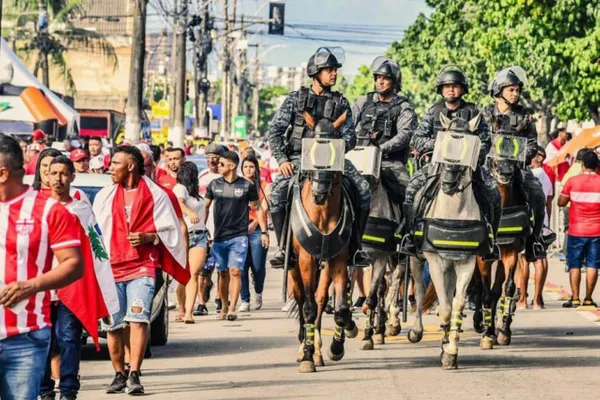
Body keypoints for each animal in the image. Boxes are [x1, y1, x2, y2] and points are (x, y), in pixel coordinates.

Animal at [287, 112, 359, 373]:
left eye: (336, 152)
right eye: (308, 150)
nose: (319, 193)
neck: (323, 213)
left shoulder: (338, 259)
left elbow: (339, 308)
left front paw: (335, 347)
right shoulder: (306, 259)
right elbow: (307, 308)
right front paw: (307, 356)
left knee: (319, 299)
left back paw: (317, 350)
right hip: (294, 266)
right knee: (302, 299)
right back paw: (304, 348)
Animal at [412, 112, 487, 369]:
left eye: (468, 149)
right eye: (442, 146)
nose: (447, 183)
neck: (454, 212)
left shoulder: (467, 262)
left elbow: (457, 304)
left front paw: (451, 350)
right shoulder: (435, 262)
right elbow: (444, 307)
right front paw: (446, 347)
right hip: (416, 260)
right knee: (418, 291)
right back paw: (416, 331)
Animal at [474, 137, 530, 349]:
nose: (505, 173)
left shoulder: (510, 253)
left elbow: (508, 288)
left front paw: (504, 329)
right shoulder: (482, 257)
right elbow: (484, 292)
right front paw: (486, 334)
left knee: (497, 290)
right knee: (479, 288)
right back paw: (480, 323)